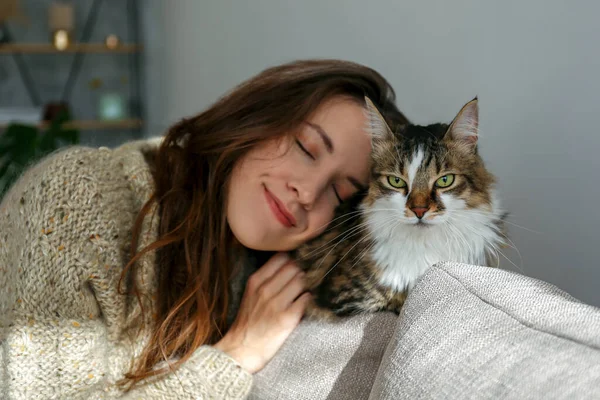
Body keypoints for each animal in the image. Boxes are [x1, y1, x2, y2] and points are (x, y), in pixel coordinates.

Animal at [294, 97, 506, 318]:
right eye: (396, 181)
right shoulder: (345, 297)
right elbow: (395, 299)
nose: (419, 210)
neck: (425, 247)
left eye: (445, 180)